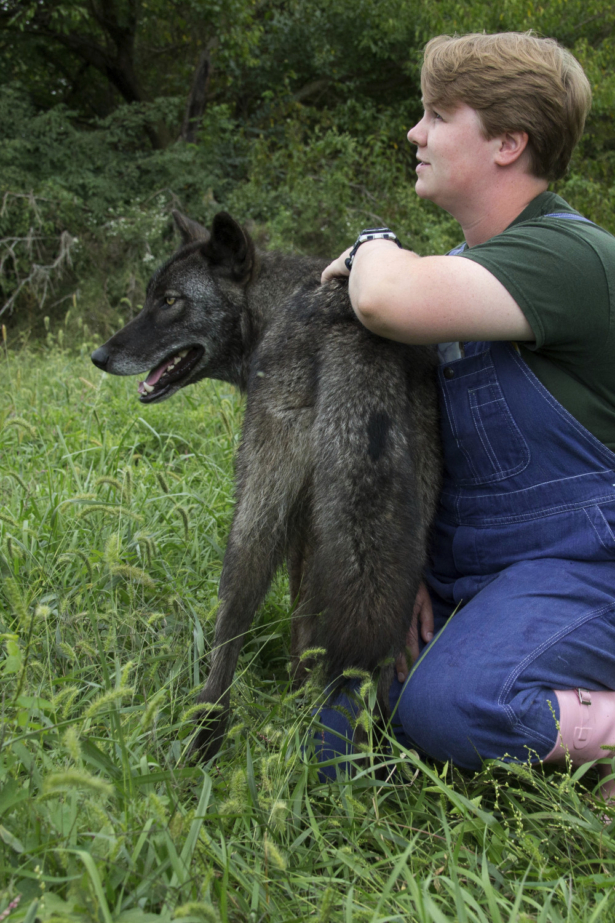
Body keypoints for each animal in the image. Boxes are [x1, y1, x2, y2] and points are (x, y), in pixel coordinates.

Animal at [91, 211, 441, 761]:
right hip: (402, 537)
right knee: (381, 666)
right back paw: (371, 758)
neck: (275, 304)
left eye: (170, 301)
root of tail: (353, 331)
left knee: (228, 635)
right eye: (151, 296)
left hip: (252, 518)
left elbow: (296, 621)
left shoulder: (294, 528)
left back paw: (206, 737)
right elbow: (308, 627)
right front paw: (302, 702)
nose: (99, 355)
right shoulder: (315, 532)